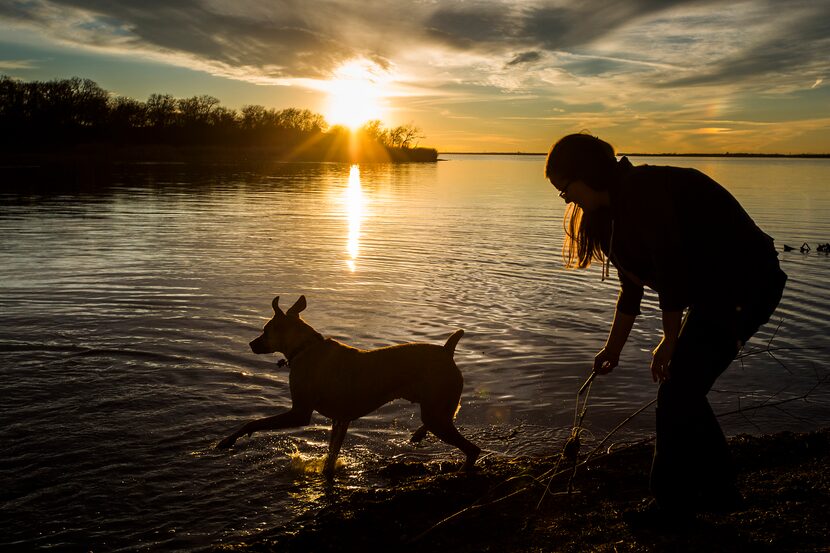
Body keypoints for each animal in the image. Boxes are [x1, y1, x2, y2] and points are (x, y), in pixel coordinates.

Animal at [218, 296, 484, 476]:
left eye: (265, 330)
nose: (251, 344)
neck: (305, 349)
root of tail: (447, 352)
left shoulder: (300, 413)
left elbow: (255, 422)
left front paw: (230, 439)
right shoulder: (340, 419)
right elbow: (331, 453)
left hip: (437, 412)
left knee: (472, 449)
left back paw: (461, 469)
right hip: (434, 408)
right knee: (445, 421)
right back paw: (419, 435)